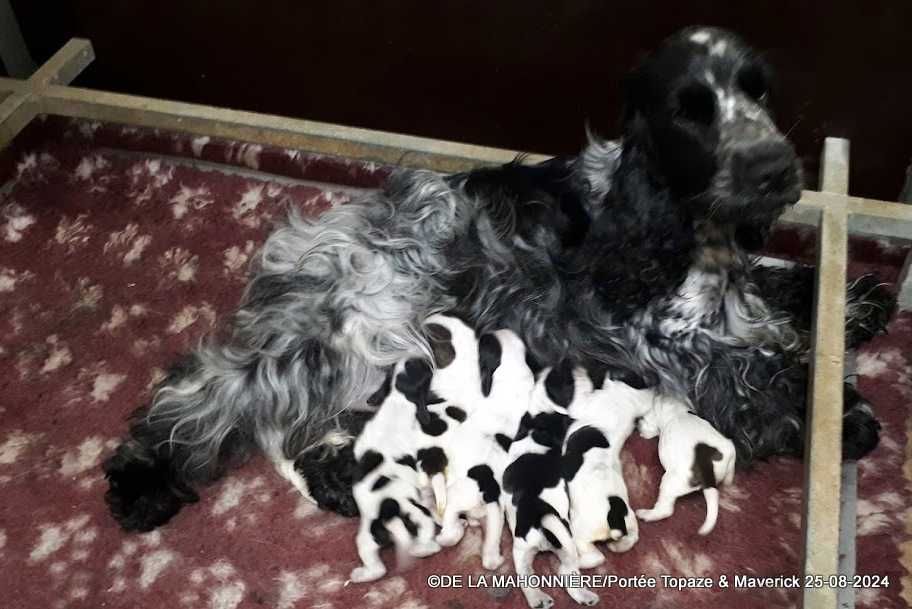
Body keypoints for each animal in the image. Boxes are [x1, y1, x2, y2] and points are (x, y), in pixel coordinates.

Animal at [434, 328, 536, 568]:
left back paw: (450, 533)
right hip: (495, 516)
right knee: (488, 554)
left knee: (449, 530)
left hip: (456, 501)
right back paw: (495, 559)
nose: (493, 329)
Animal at [498, 364, 600, 604]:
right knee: (566, 572)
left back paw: (539, 600)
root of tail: (538, 519)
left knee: (526, 577)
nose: (584, 369)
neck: (539, 414)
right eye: (570, 381)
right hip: (564, 538)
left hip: (522, 550)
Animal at [564, 364, 656, 568]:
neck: (626, 398)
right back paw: (617, 546)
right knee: (630, 540)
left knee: (594, 556)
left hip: (580, 530)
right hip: (631, 525)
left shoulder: (584, 403)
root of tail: (615, 521)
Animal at [636, 394, 736, 532]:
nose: (636, 423)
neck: (678, 409)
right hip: (730, 453)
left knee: (665, 510)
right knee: (729, 475)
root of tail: (707, 468)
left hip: (670, 481)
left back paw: (645, 515)